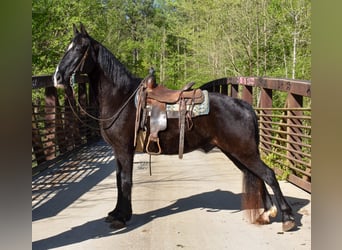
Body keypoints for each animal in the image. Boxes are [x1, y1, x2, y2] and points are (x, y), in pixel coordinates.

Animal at [52, 24, 296, 231]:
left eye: (80, 48)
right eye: (67, 48)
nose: (57, 77)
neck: (121, 98)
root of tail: (245, 106)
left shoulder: (124, 150)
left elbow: (126, 181)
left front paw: (122, 217)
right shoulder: (118, 151)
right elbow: (120, 181)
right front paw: (116, 213)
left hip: (243, 152)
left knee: (268, 174)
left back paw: (287, 217)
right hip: (236, 153)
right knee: (257, 175)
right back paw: (266, 213)